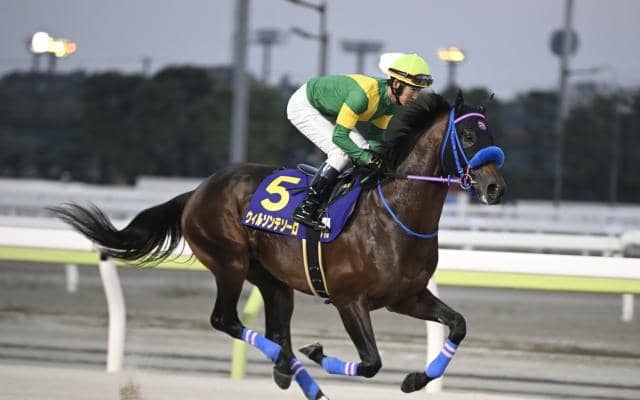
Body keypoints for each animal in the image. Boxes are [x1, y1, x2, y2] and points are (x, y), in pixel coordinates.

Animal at [51, 90, 506, 400]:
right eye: (467, 134)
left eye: (491, 134)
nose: (495, 188)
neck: (394, 216)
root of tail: (197, 191)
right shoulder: (348, 300)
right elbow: (371, 363)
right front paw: (319, 352)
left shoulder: (406, 296)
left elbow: (458, 325)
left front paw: (415, 379)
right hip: (229, 261)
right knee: (226, 320)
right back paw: (291, 364)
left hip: (273, 280)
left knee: (275, 327)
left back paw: (293, 374)